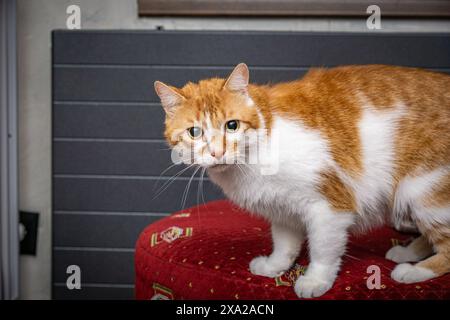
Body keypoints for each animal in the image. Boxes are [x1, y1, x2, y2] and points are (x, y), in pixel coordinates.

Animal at [155, 63, 450, 298]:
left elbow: (322, 248)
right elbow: (285, 244)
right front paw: (275, 266)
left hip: (423, 192)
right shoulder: (282, 208)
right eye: (194, 132)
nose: (218, 152)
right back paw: (408, 252)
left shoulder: (329, 207)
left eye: (232, 125)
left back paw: (413, 271)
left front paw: (315, 280)